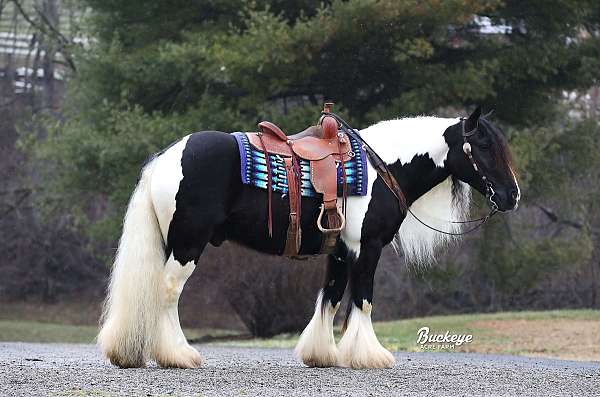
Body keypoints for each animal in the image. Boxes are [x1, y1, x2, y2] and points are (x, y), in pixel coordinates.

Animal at [96, 106, 516, 368]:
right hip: (188, 245)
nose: (512, 196)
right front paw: (369, 356)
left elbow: (330, 297)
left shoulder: (341, 252)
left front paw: (322, 355)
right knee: (168, 292)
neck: (381, 168)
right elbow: (363, 300)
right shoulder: (368, 249)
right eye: (483, 146)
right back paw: (178, 355)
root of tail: (165, 159)